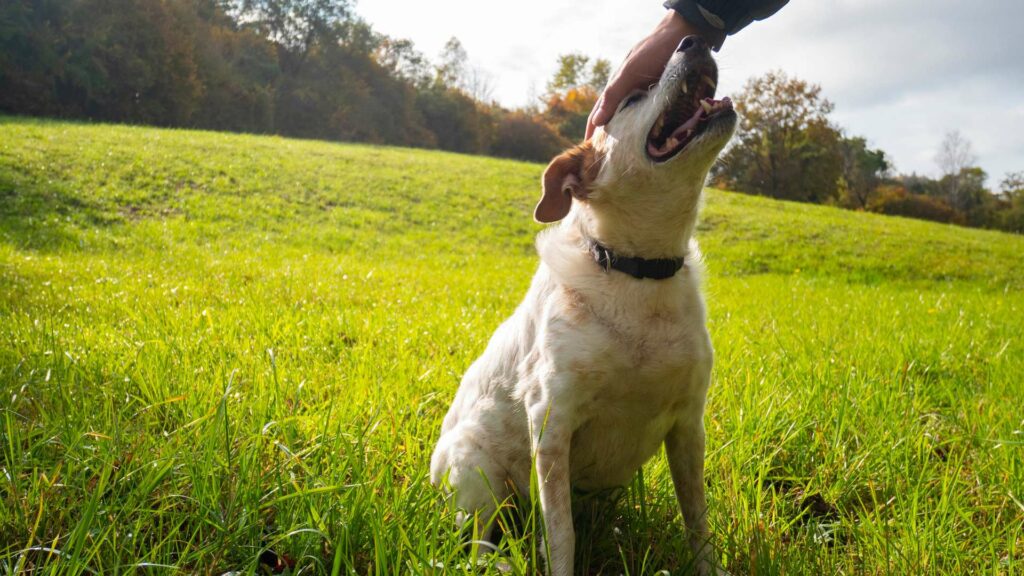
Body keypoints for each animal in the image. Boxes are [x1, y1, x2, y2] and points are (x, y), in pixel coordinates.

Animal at [430, 36, 737, 573]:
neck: (637, 271)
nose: (693, 39)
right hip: (476, 472)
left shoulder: (688, 426)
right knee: (476, 539)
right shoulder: (552, 424)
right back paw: (497, 561)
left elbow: (698, 523)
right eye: (633, 97)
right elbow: (561, 535)